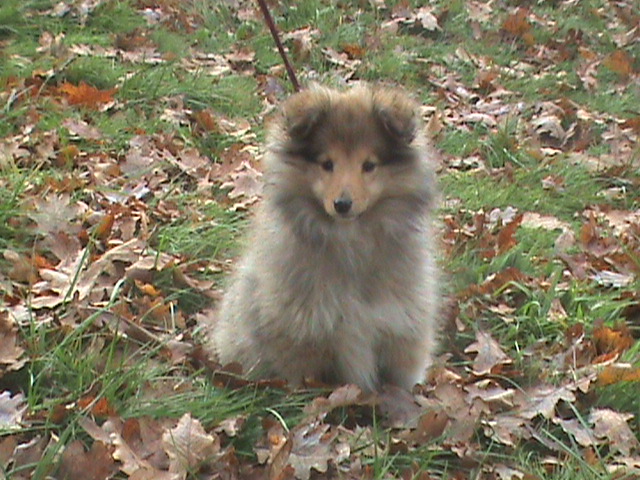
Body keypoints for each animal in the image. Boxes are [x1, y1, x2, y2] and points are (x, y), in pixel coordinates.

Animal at [210, 84, 440, 392]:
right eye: (327, 163)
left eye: (369, 165)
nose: (342, 204)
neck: (350, 240)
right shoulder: (300, 335)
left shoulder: (401, 330)